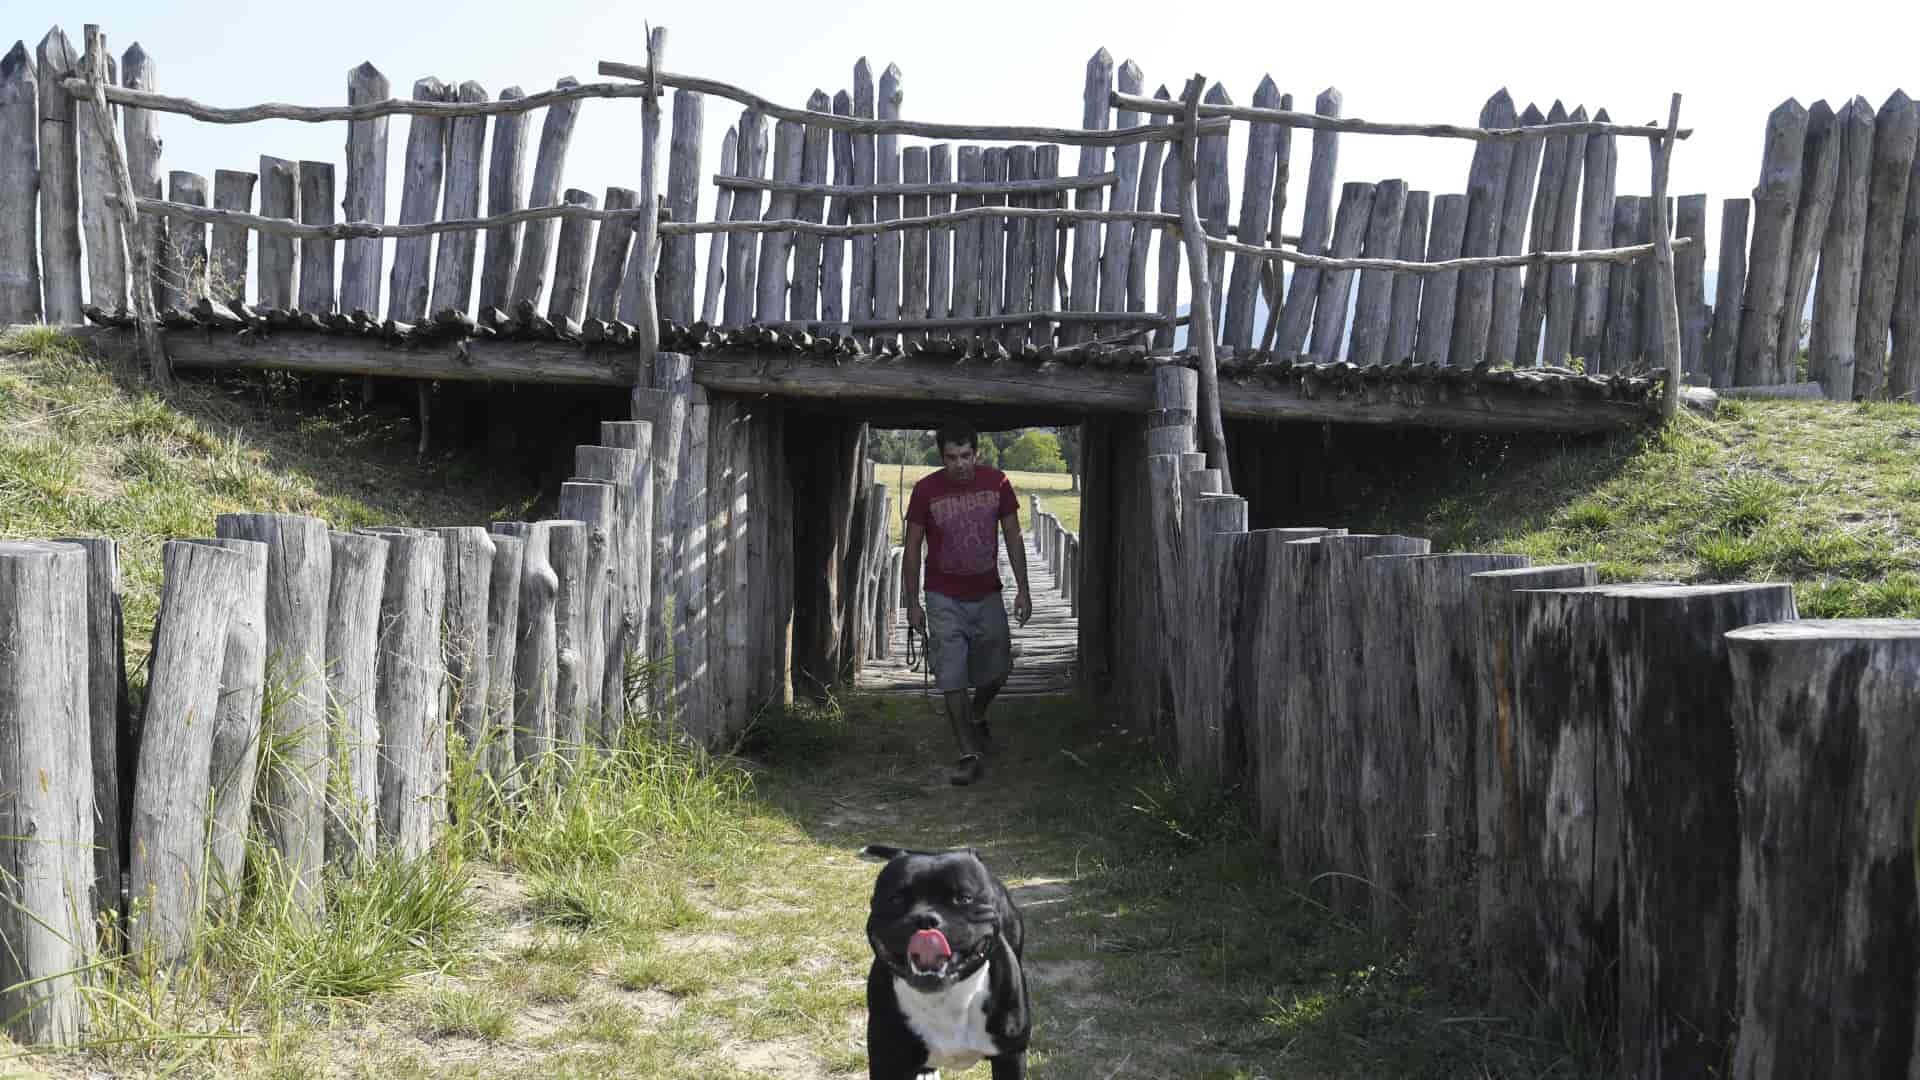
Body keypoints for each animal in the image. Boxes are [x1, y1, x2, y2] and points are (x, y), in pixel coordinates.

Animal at [860, 845, 1029, 1068]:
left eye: (963, 898)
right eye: (896, 899)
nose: (925, 919)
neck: (944, 998)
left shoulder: (1011, 1055)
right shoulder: (887, 1060)